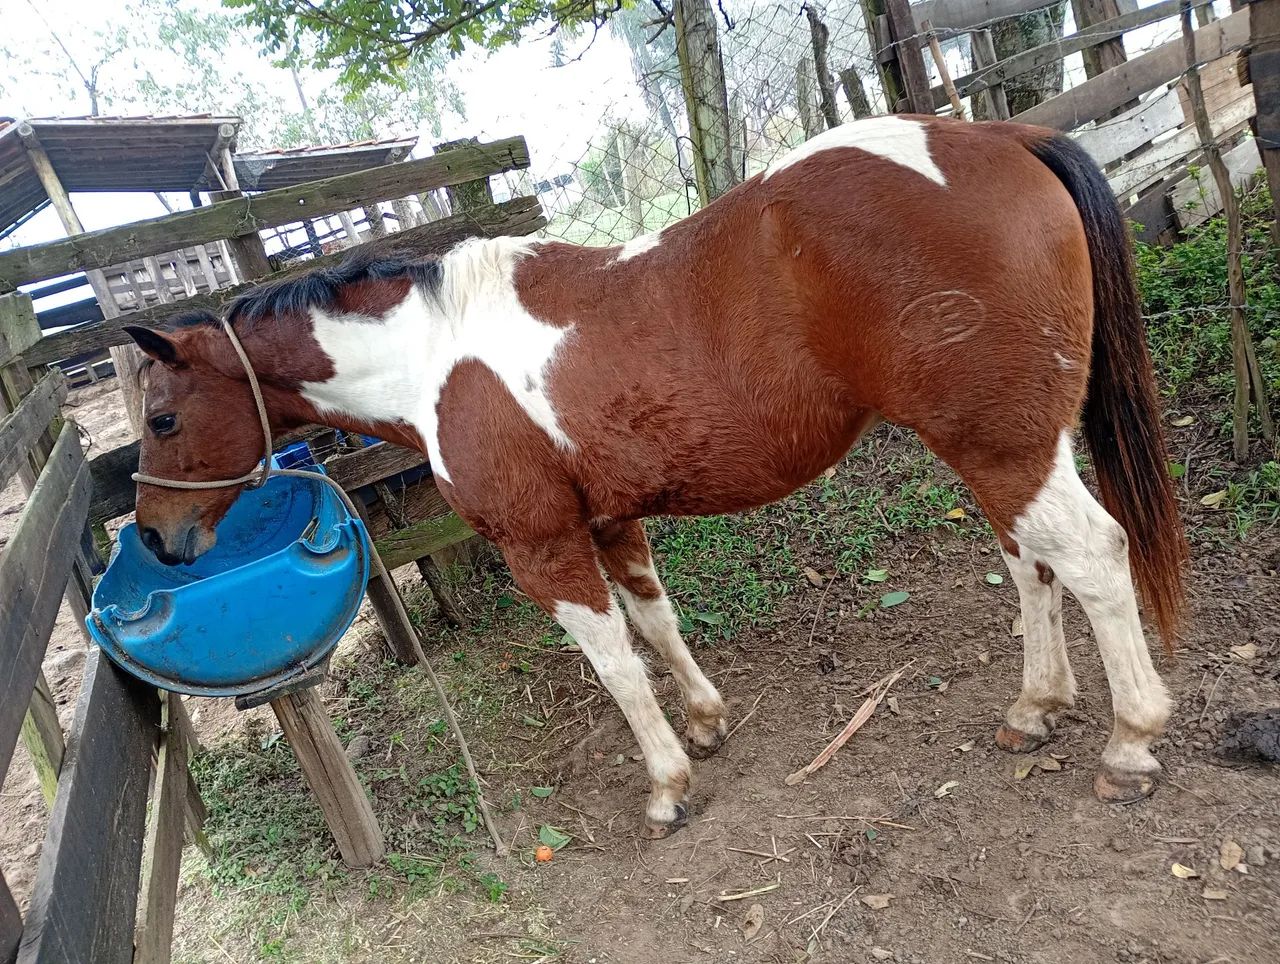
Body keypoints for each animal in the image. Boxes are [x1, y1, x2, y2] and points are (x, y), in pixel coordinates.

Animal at [123, 115, 1187, 838]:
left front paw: (669, 783)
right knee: (1030, 564)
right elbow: (655, 622)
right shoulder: (609, 519)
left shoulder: (543, 544)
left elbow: (613, 663)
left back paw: (1131, 740)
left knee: (1092, 555)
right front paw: (708, 722)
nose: (159, 538)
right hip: (1001, 448)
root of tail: (1004, 135)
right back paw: (1036, 708)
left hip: (1004, 446)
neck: (435, 352)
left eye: (163, 418)